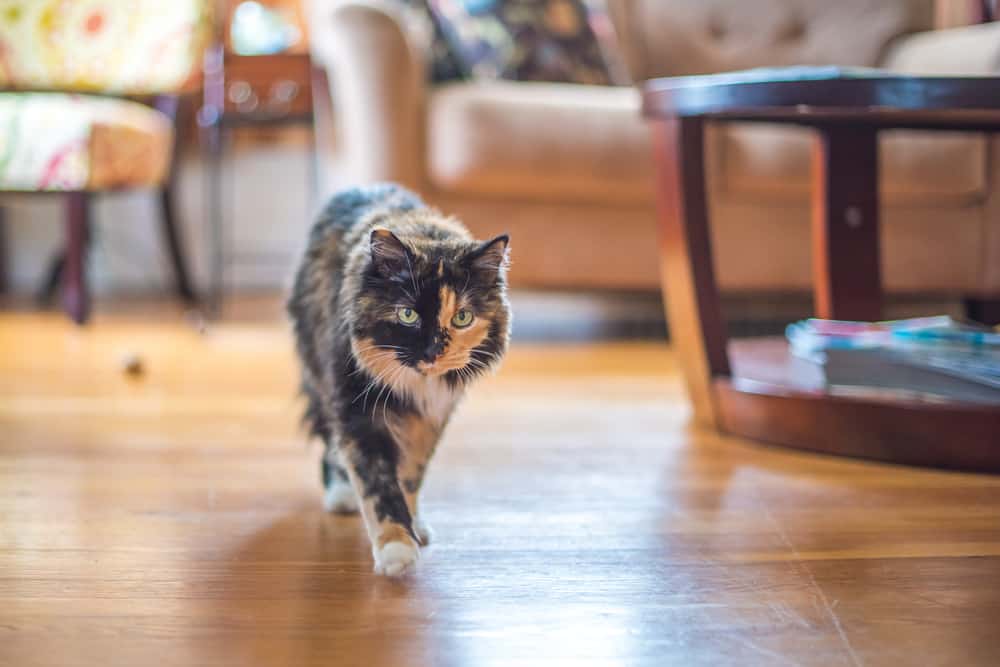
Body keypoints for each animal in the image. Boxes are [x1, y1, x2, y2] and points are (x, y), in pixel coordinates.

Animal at [288, 183, 508, 576]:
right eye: (408, 315)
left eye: (463, 318)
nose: (433, 351)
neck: (415, 386)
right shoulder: (357, 411)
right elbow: (378, 485)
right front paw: (396, 549)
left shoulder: (430, 417)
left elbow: (410, 475)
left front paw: (413, 525)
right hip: (319, 373)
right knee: (329, 442)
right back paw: (340, 495)